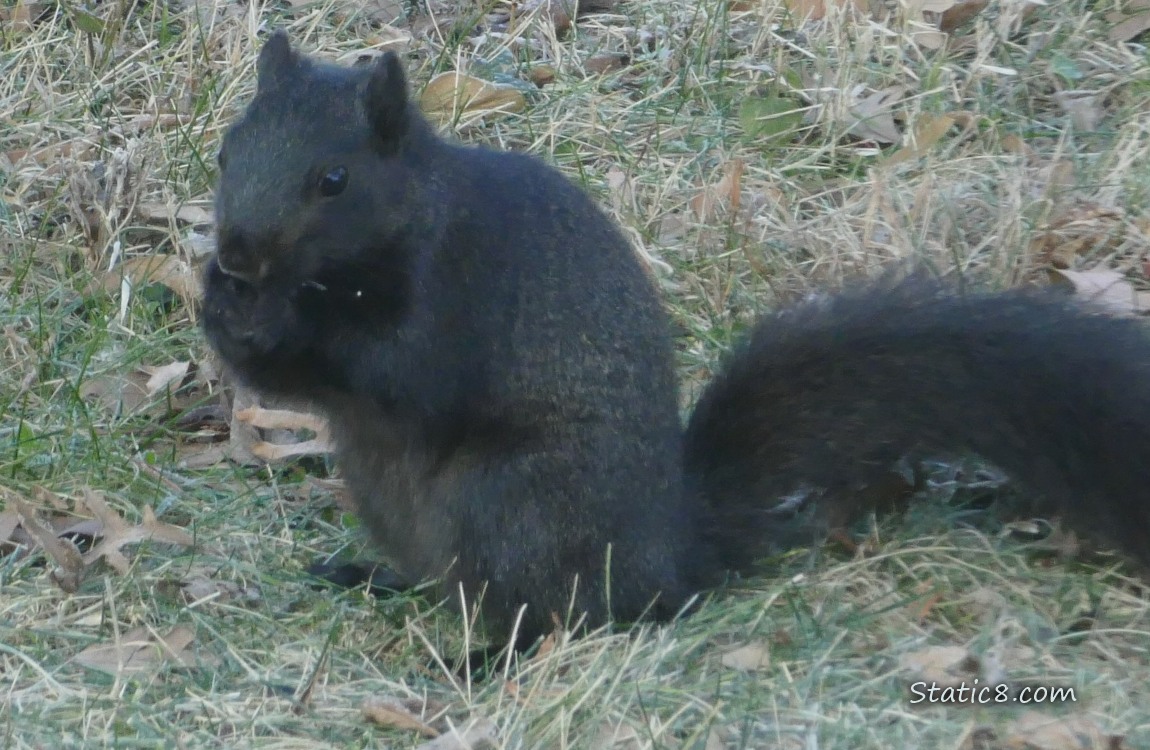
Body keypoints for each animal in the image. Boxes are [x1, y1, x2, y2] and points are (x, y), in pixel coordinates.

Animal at [202, 29, 1150, 648]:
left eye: (334, 179)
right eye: (224, 152)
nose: (238, 252)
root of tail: (664, 552)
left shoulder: (455, 287)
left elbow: (405, 375)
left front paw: (275, 315)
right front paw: (222, 304)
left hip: (512, 501)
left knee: (554, 613)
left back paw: (486, 656)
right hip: (384, 490)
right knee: (456, 582)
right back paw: (381, 576)